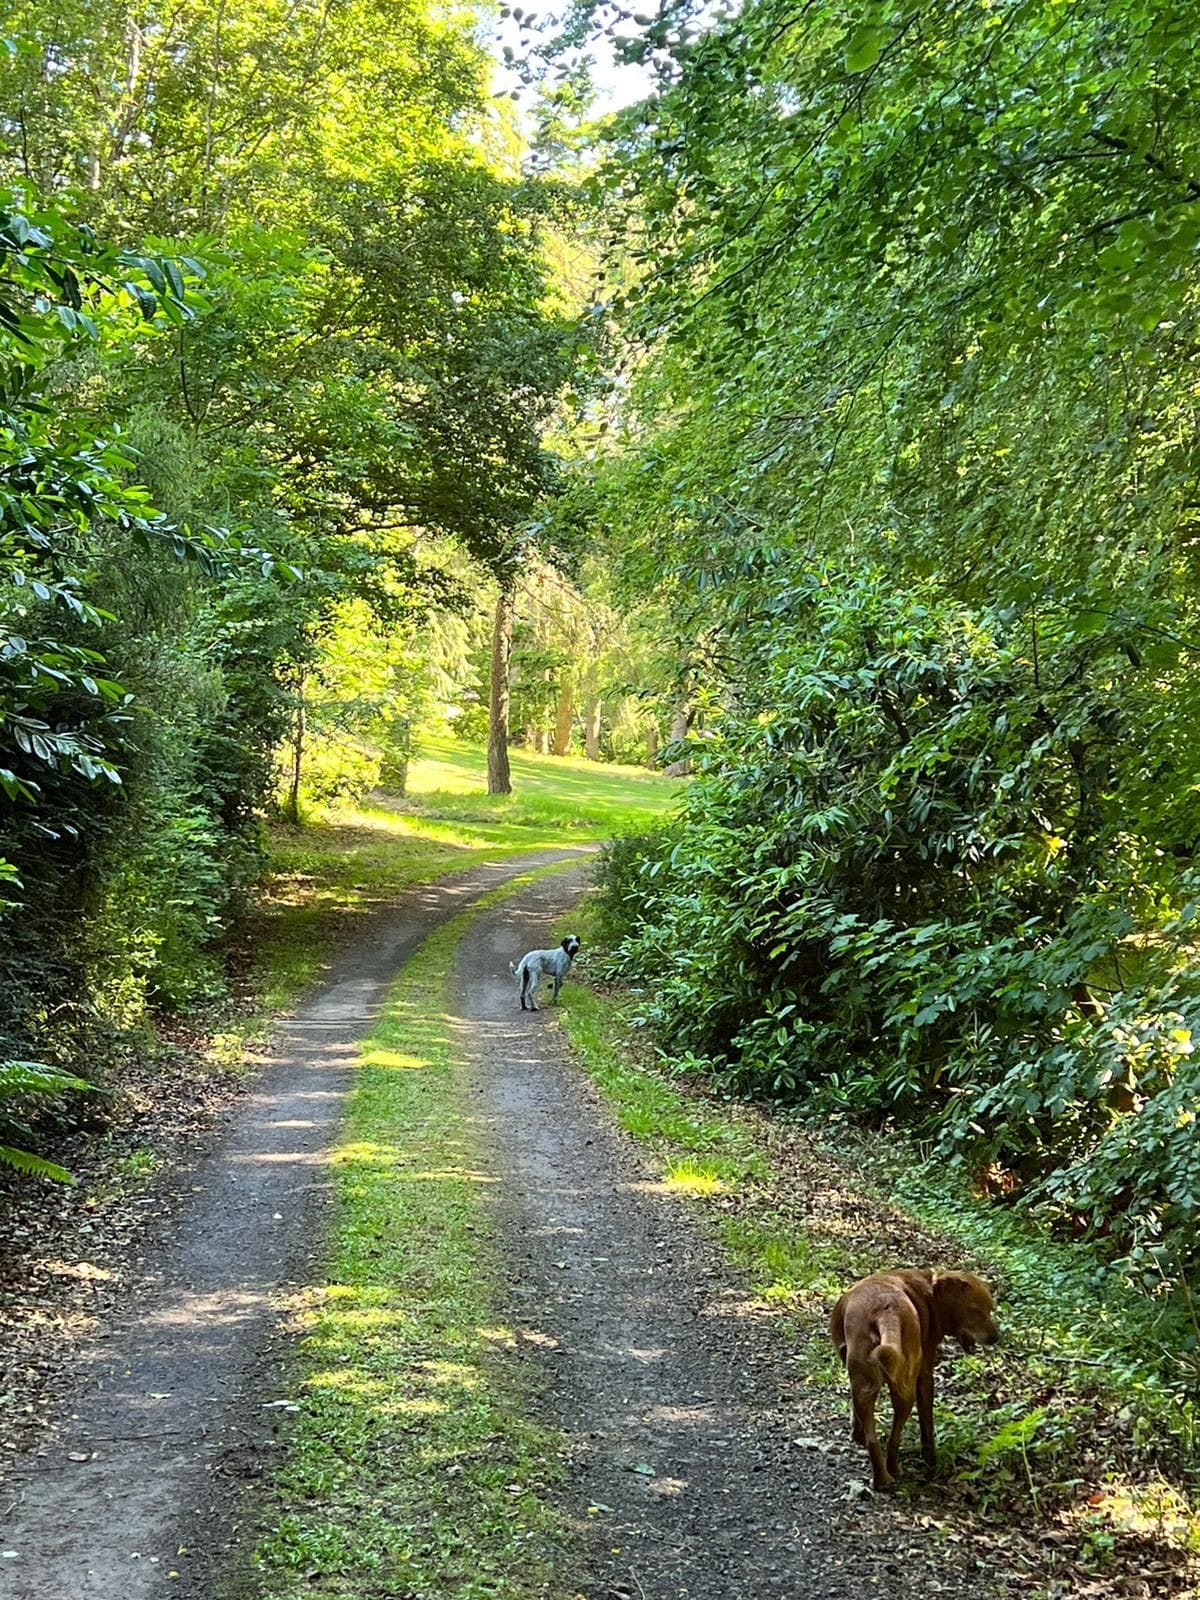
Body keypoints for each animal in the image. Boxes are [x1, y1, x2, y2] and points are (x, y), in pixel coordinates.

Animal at [832, 1273, 998, 1484]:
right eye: (976, 1310)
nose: (996, 1338)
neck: (930, 1290)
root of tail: (883, 1310)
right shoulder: (925, 1378)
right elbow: (927, 1424)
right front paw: (931, 1458)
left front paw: (856, 1432)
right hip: (906, 1388)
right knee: (894, 1437)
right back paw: (894, 1470)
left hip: (866, 1385)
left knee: (874, 1439)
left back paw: (882, 1479)